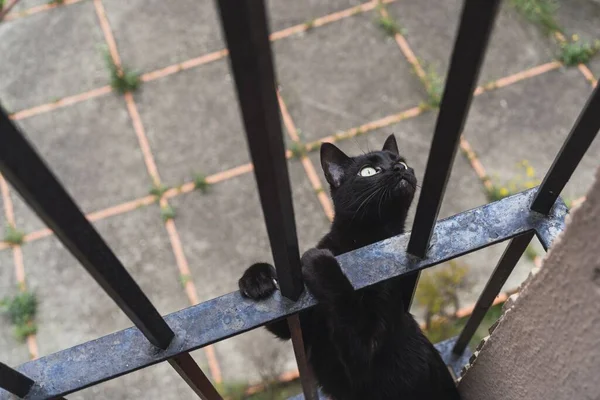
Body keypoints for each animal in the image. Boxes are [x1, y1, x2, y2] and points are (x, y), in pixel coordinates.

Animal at [239, 135, 460, 400]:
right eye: (369, 171)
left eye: (403, 163)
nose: (399, 168)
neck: (361, 241)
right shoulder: (301, 327)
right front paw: (256, 278)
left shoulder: (368, 349)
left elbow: (345, 301)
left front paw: (318, 262)